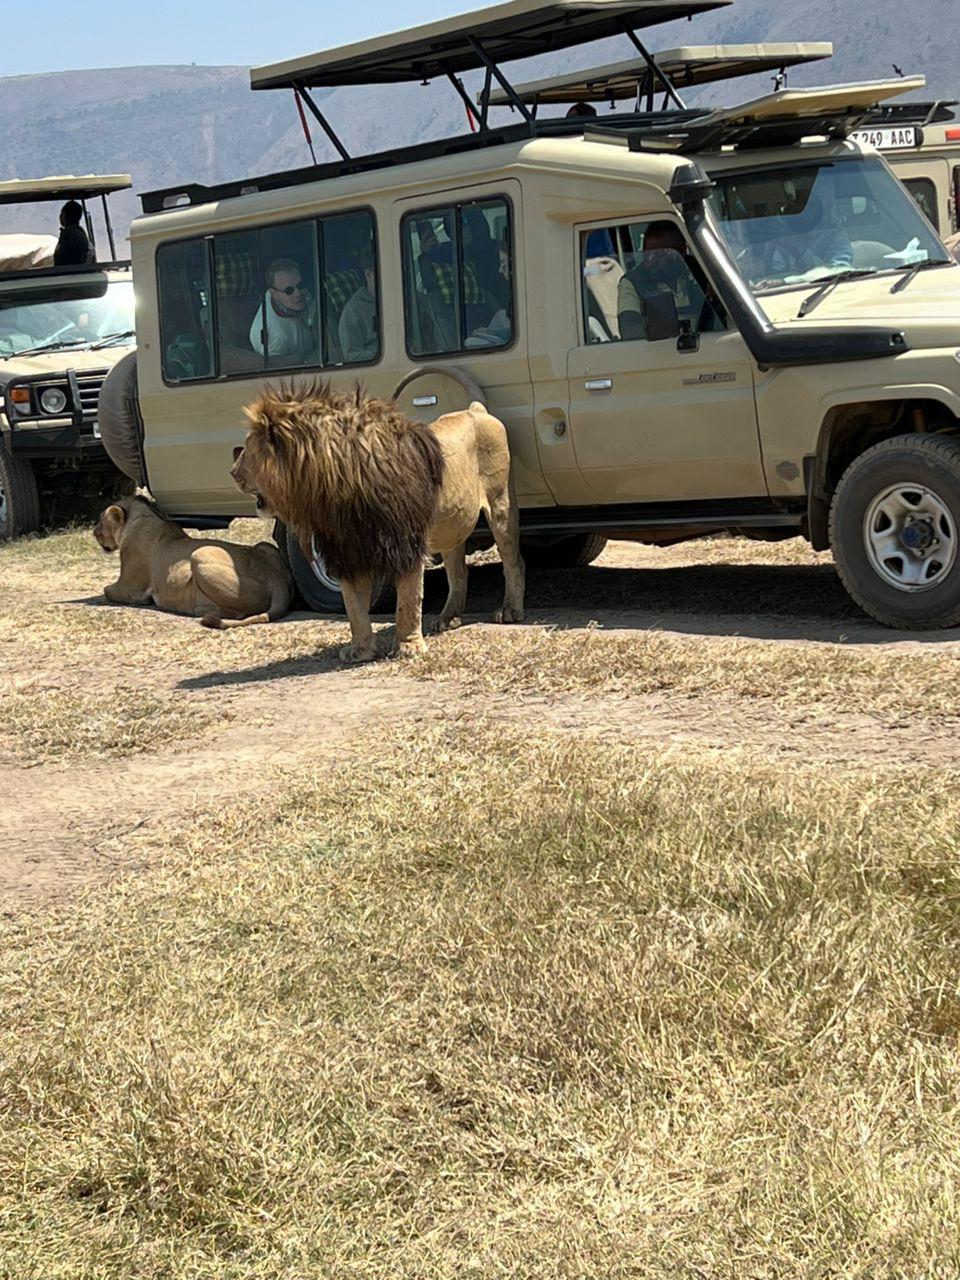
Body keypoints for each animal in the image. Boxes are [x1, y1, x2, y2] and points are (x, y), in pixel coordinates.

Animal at [94, 494, 293, 629]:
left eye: (101, 520)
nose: (94, 533)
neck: (145, 516)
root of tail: (275, 579)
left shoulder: (130, 587)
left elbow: (106, 590)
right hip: (265, 547)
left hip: (199, 554)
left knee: (237, 613)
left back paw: (201, 610)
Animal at [231, 379, 525, 662]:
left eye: (246, 450)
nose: (232, 472)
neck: (334, 492)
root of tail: (475, 410)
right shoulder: (347, 551)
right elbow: (354, 609)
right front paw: (360, 650)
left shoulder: (405, 544)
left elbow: (408, 602)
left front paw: (408, 647)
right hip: (452, 525)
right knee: (458, 571)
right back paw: (448, 617)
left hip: (500, 505)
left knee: (513, 560)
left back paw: (510, 610)